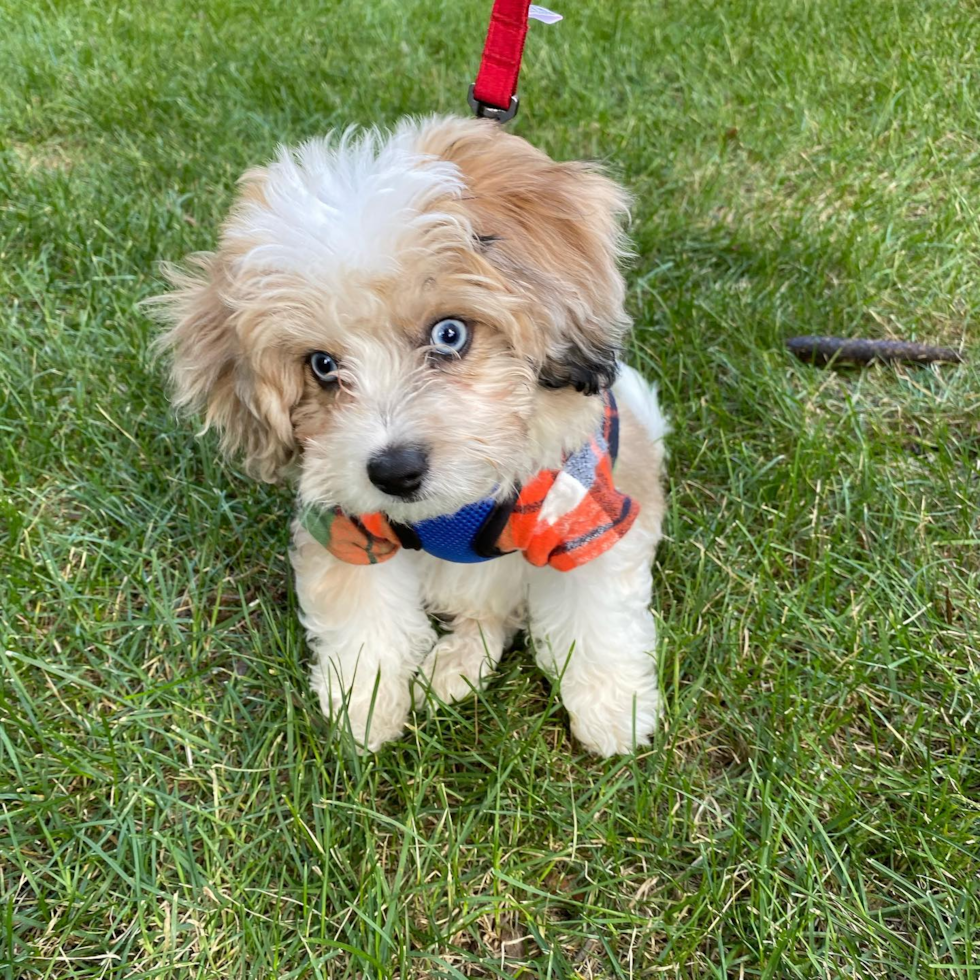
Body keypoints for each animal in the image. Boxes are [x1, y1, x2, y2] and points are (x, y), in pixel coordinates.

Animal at [157, 117, 668, 756]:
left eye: (449, 334)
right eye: (322, 366)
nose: (394, 472)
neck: (454, 512)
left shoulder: (584, 518)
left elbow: (596, 615)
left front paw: (611, 707)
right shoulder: (350, 527)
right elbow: (363, 612)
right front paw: (364, 702)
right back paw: (453, 670)